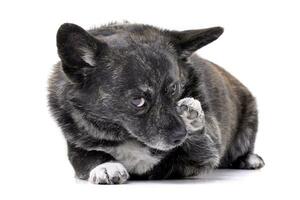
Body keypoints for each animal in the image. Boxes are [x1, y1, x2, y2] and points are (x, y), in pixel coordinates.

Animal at [48, 21, 264, 184]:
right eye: (137, 100)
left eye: (174, 89)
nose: (180, 136)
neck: (125, 134)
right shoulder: (77, 149)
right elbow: (90, 156)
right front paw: (106, 166)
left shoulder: (198, 158)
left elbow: (201, 146)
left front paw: (192, 118)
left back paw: (249, 158)